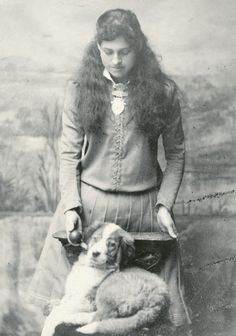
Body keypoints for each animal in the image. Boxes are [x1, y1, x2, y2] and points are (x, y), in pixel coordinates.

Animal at [41, 220, 170, 336]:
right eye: (96, 238)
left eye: (112, 245)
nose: (95, 253)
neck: (91, 267)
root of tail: (160, 297)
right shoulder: (72, 294)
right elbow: (62, 303)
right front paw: (51, 306)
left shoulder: (86, 299)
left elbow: (58, 311)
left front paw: (48, 327)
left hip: (106, 290)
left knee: (103, 316)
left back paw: (74, 318)